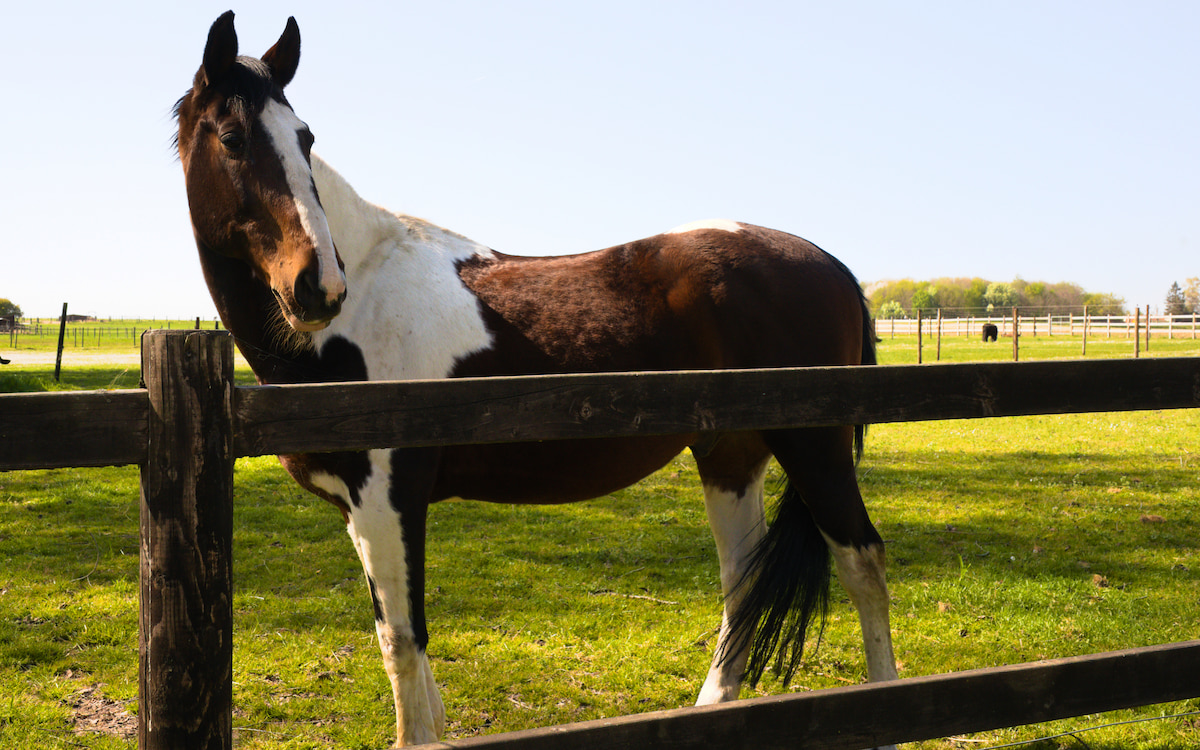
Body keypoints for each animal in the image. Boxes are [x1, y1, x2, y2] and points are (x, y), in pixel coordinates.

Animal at [175, 12, 898, 747]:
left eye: (306, 139)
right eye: (232, 138)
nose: (318, 287)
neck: (364, 300)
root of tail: (832, 266)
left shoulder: (387, 497)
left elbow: (401, 640)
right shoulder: (362, 508)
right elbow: (409, 644)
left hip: (814, 446)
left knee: (862, 563)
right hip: (731, 454)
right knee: (743, 582)